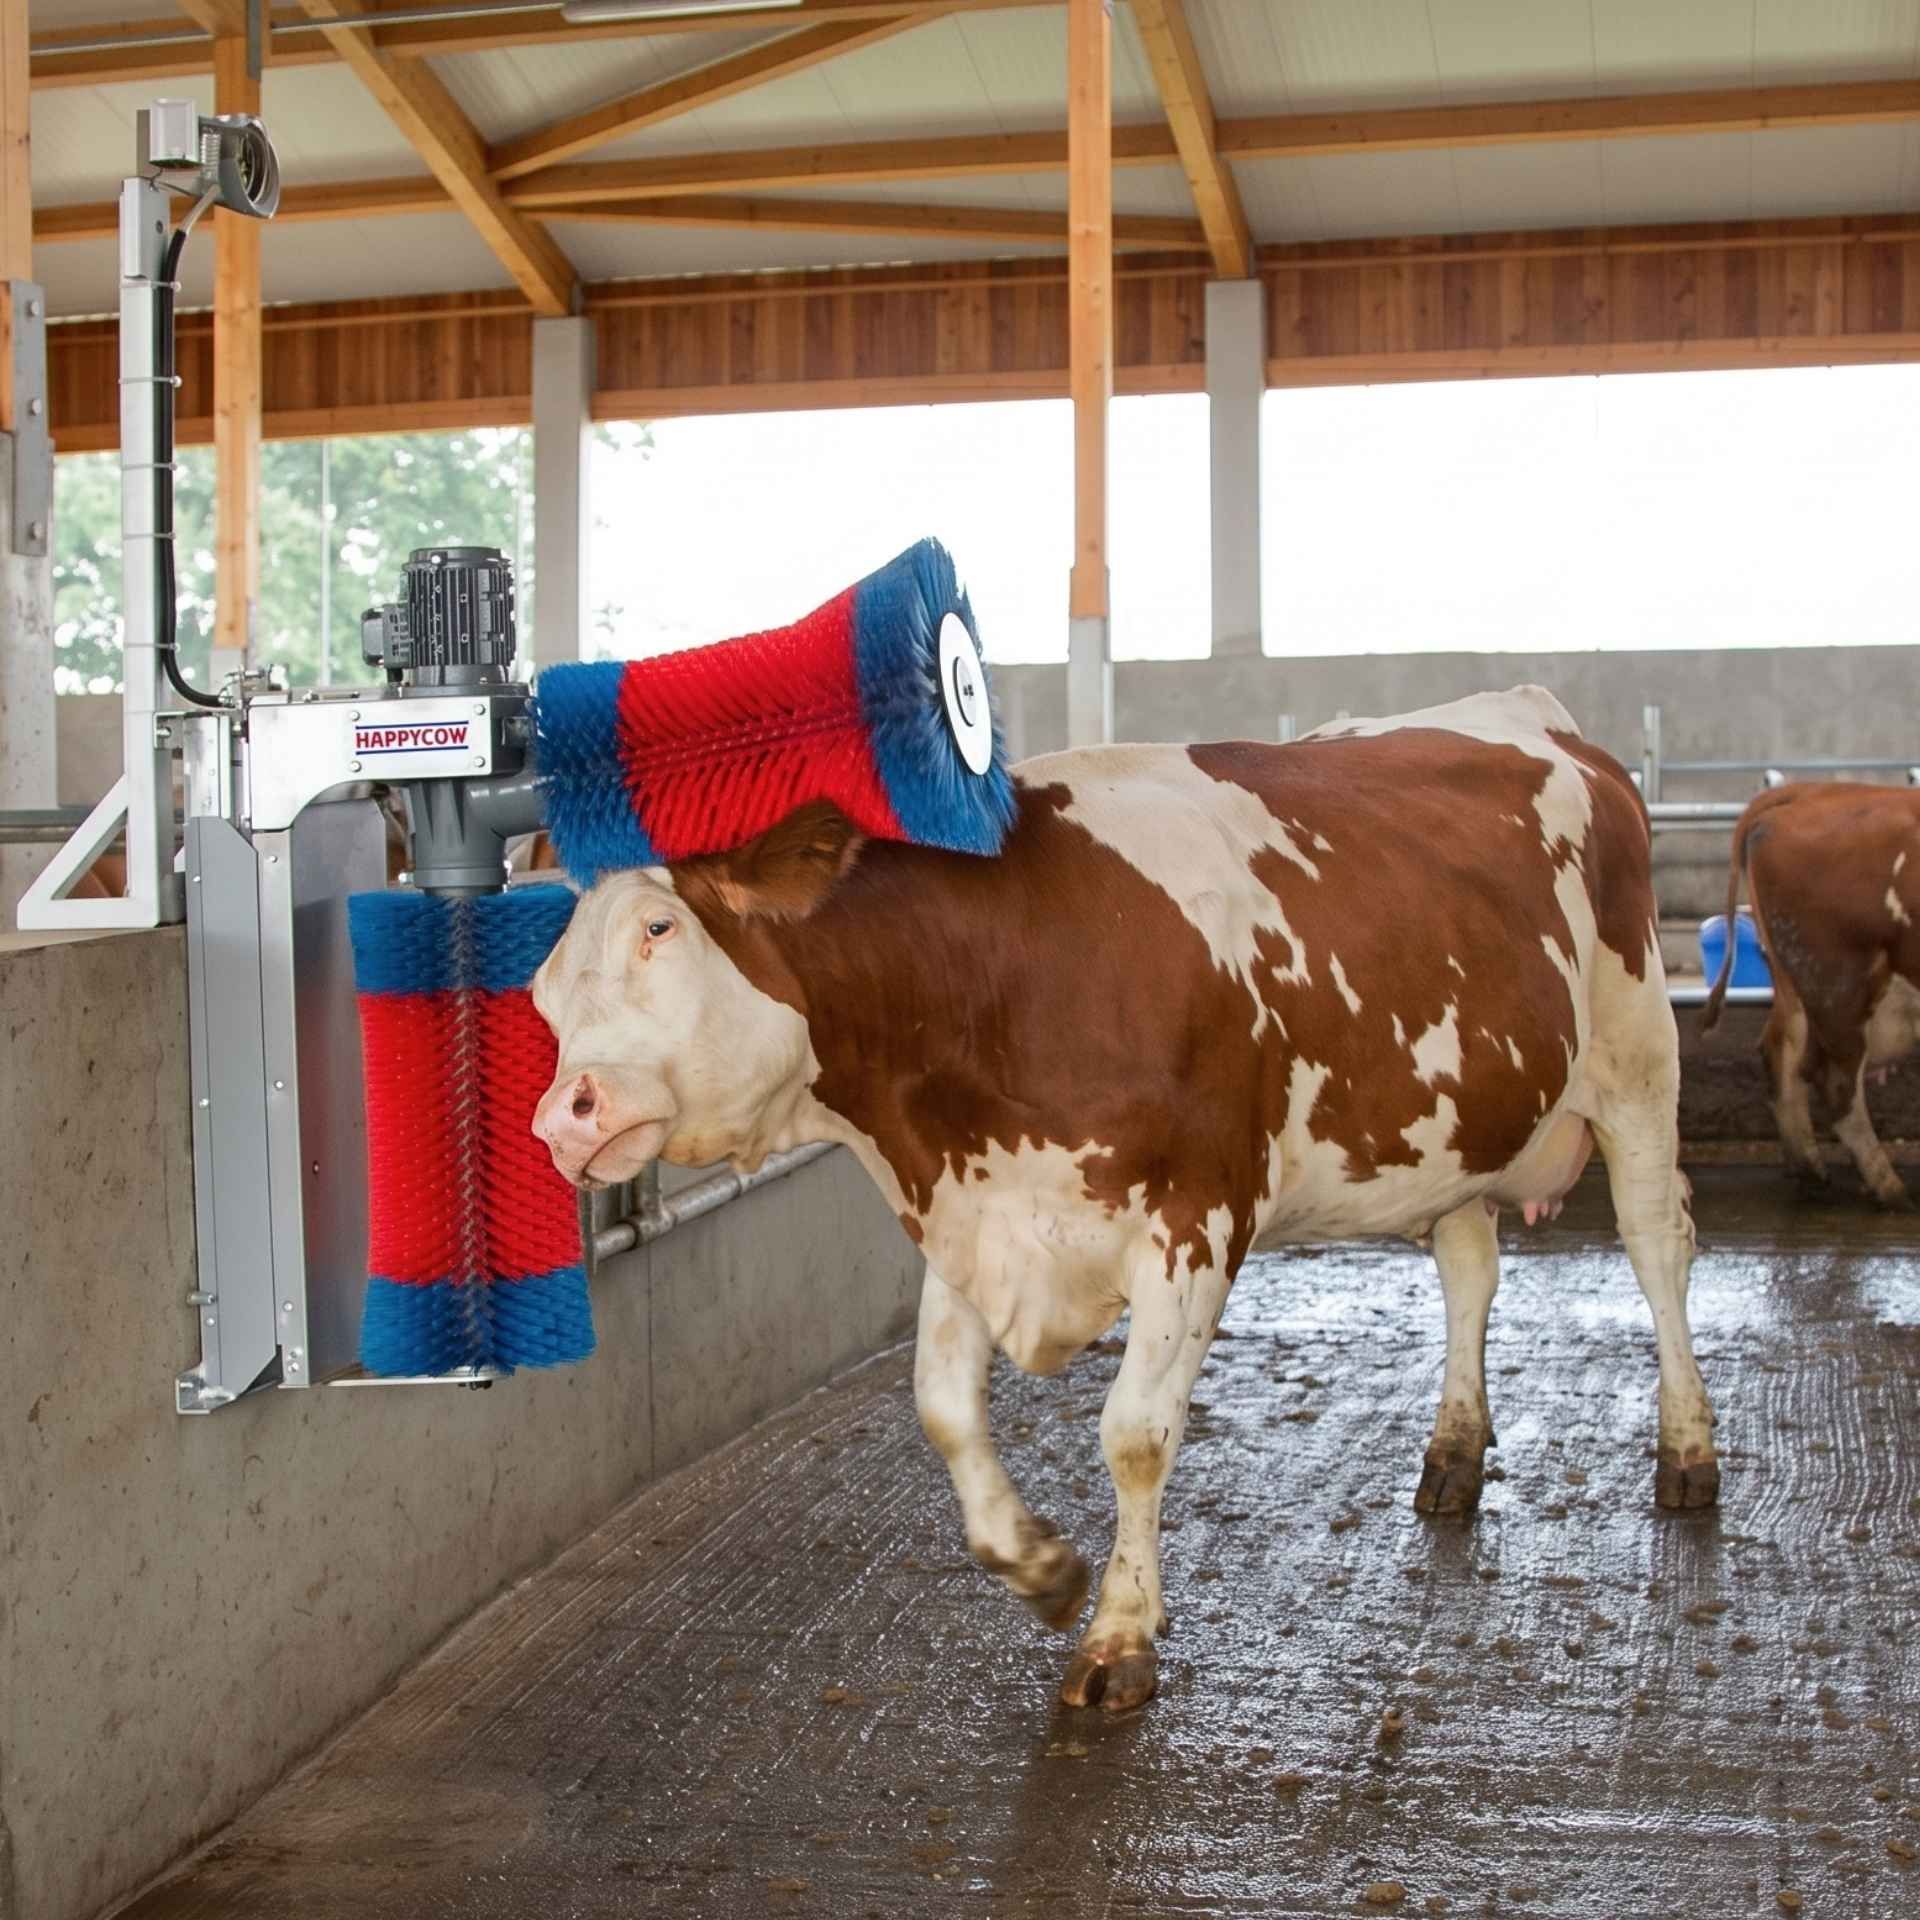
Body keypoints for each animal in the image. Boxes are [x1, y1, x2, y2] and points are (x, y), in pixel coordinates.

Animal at [530, 687, 1717, 1712]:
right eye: (541, 987)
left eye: (659, 931)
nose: (563, 1118)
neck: (999, 973)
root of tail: (1537, 715)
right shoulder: (976, 1214)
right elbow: (942, 1405)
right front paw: (1042, 1567)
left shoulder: (1195, 1218)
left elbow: (1135, 1433)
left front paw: (1119, 1635)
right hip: (1462, 1122)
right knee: (1471, 1267)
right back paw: (1455, 1456)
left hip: (1637, 1059)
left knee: (1658, 1247)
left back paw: (1689, 1452)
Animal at [1702, 781, 1920, 1208]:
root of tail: (1810, 790)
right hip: (1839, 985)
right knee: (1833, 1079)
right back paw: (1889, 1189)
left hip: (1800, 984)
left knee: (1781, 1052)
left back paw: (1809, 1170)